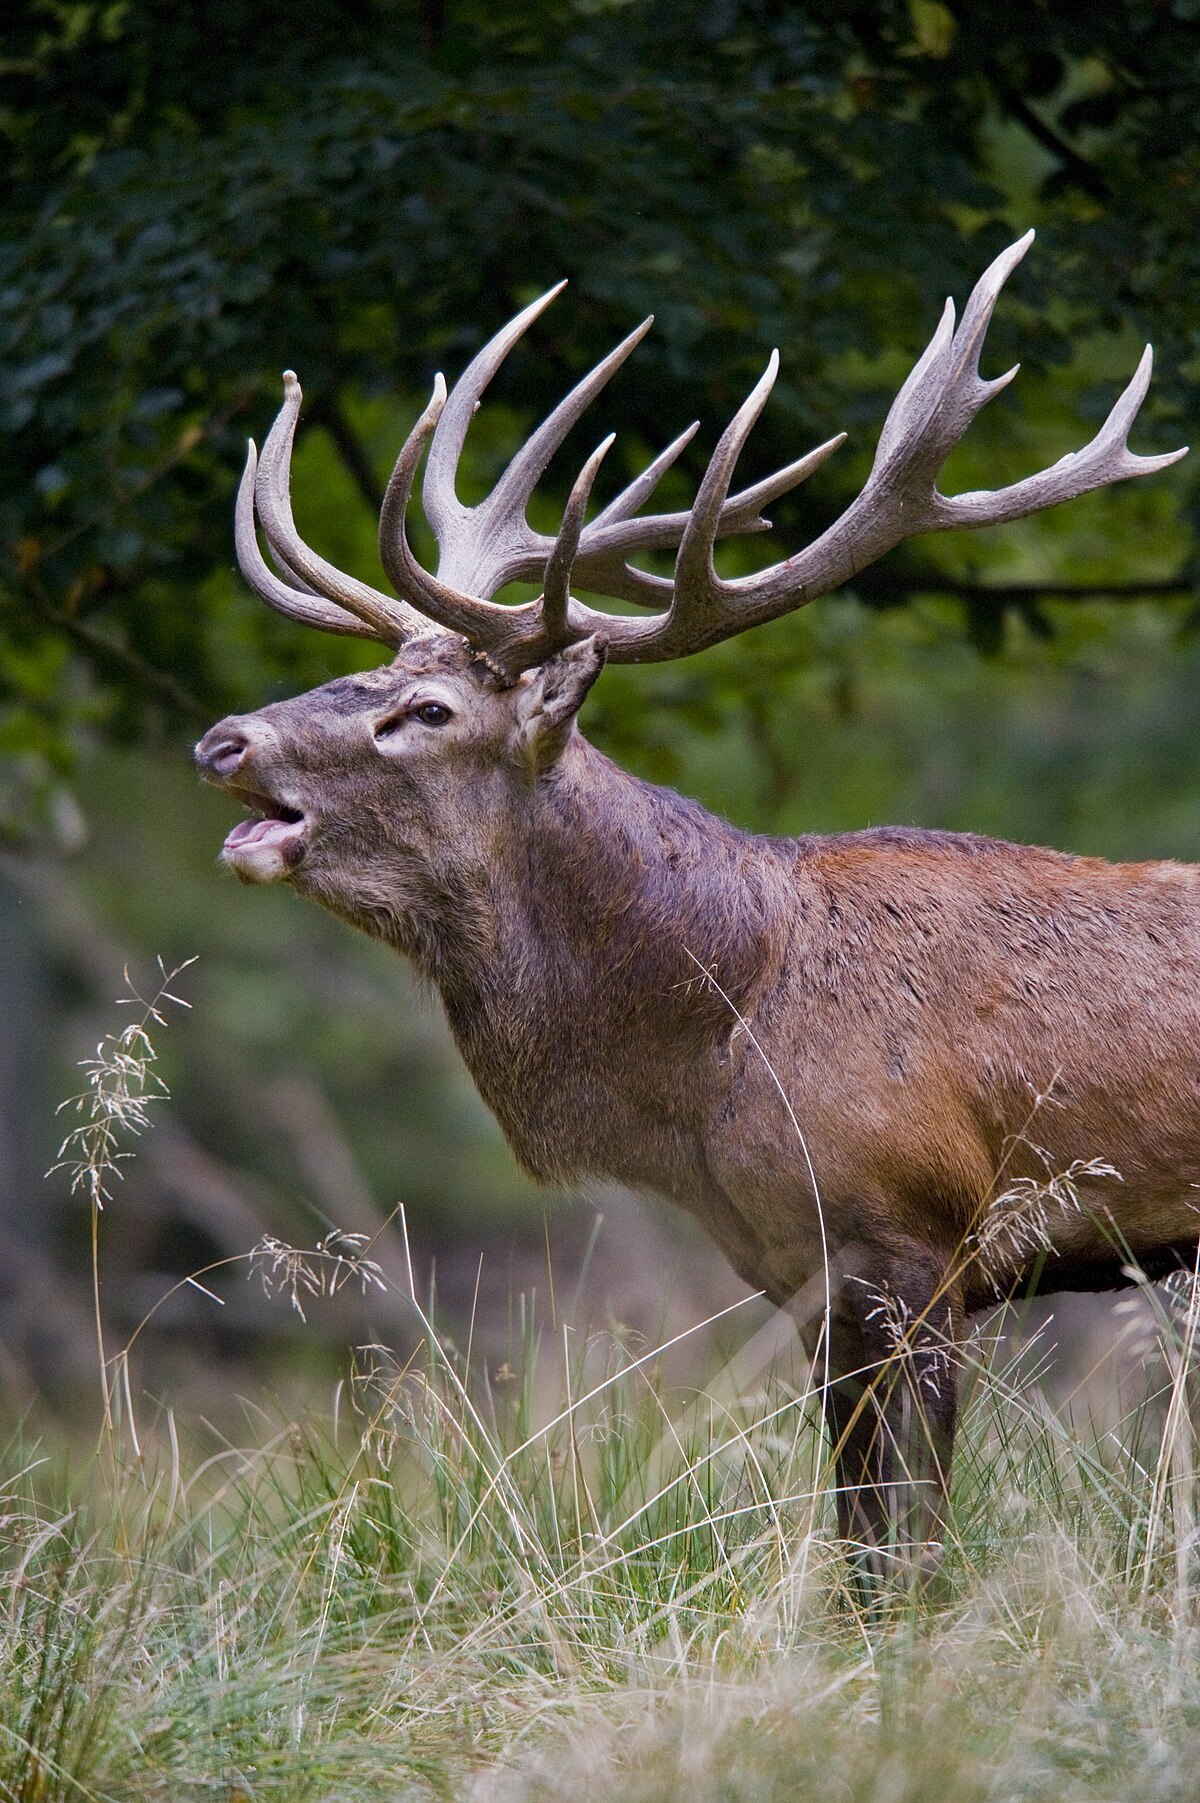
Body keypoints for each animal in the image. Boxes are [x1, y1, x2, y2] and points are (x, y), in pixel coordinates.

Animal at [196, 232, 1194, 1576]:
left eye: (427, 711)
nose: (224, 738)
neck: (719, 1032)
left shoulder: (921, 1239)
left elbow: (911, 1547)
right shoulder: (808, 1281)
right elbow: (855, 1538)